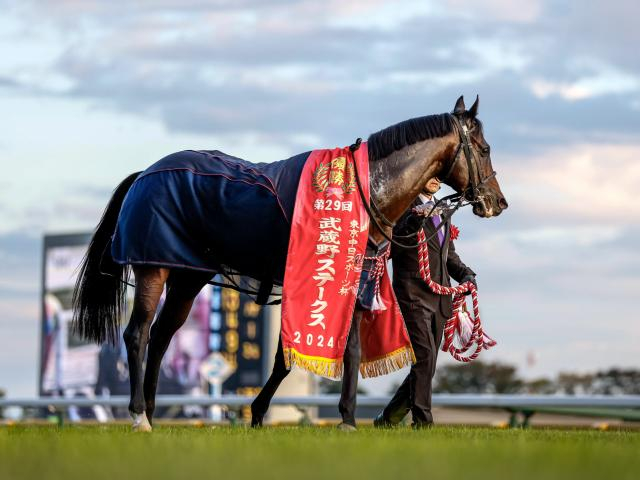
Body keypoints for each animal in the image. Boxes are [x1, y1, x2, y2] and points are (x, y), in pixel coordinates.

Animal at [72, 94, 508, 432]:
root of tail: (145, 173)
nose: (498, 202)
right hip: (153, 267)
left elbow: (339, 350)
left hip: (187, 276)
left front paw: (335, 417)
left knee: (162, 336)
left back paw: (151, 412)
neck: (363, 188)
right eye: (485, 149)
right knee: (138, 334)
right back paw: (138, 417)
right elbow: (298, 353)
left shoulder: (350, 279)